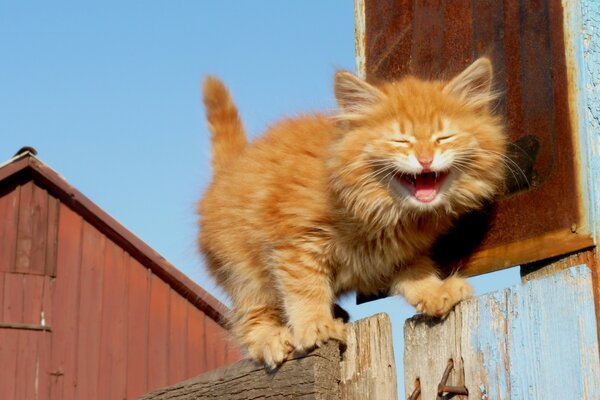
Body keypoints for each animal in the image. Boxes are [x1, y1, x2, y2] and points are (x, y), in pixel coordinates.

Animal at [200, 57, 506, 368]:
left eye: (443, 137)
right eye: (400, 140)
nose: (425, 159)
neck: (382, 209)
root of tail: (230, 167)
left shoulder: (403, 251)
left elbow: (417, 273)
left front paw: (435, 292)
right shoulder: (296, 242)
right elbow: (304, 288)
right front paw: (315, 326)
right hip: (242, 271)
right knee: (249, 317)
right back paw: (270, 340)